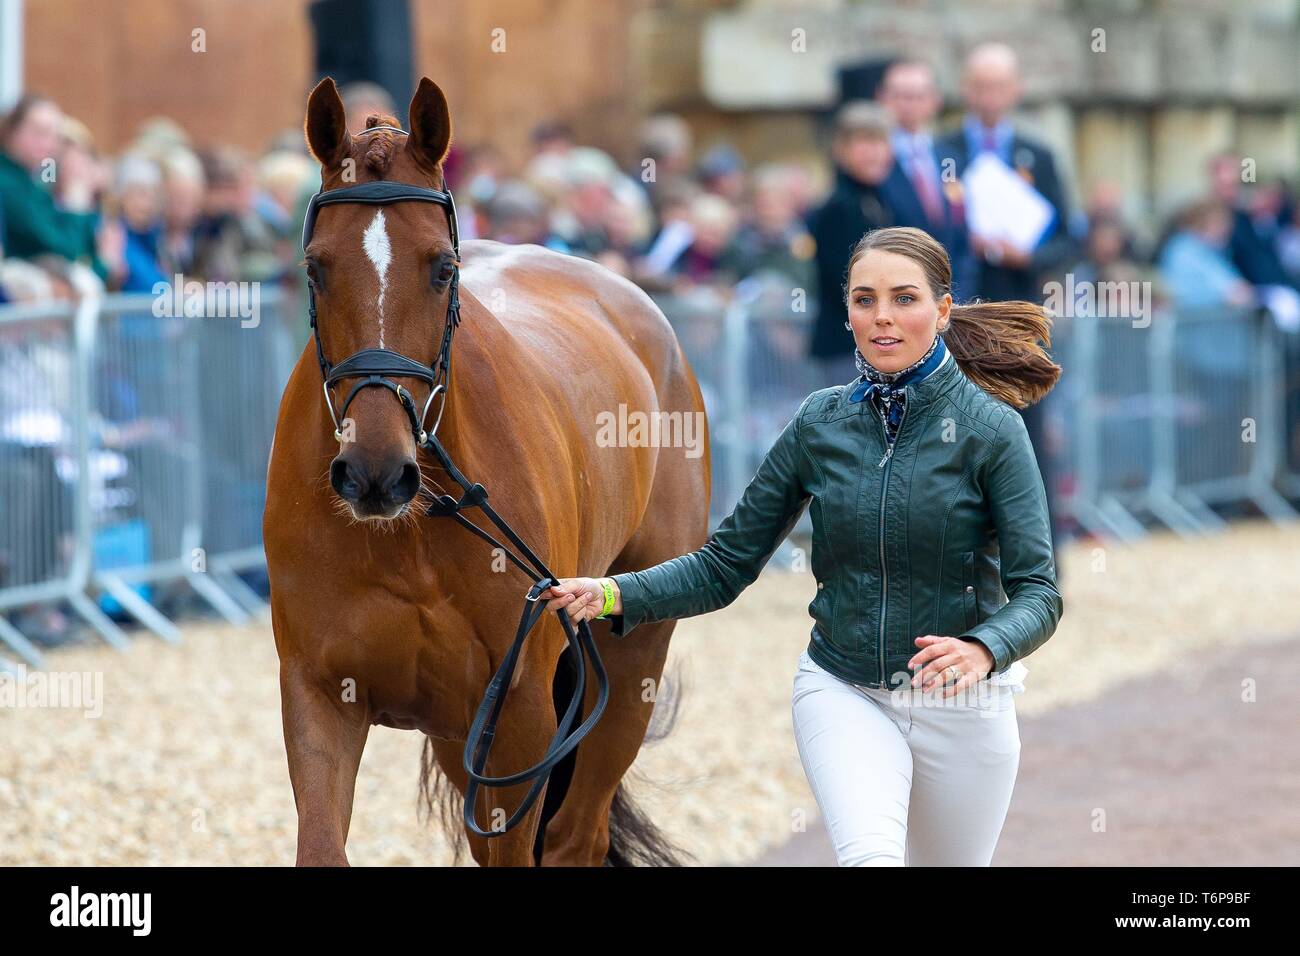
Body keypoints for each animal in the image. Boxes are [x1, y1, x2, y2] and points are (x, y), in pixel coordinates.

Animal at [263, 75, 711, 866]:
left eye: (442, 266)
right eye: (315, 265)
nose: (374, 473)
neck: (410, 532)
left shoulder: (521, 715)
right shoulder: (320, 693)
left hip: (630, 662)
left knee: (577, 834)